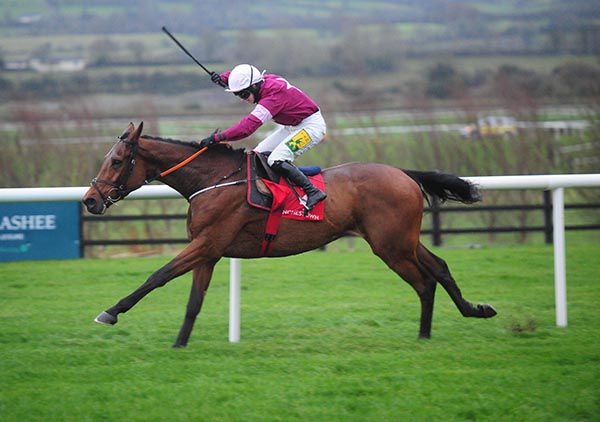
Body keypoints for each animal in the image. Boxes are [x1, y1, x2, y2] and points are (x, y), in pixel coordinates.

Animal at [82, 122, 496, 348]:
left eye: (116, 161)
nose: (89, 199)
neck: (212, 180)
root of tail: (404, 173)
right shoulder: (209, 251)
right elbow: (193, 302)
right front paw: (180, 343)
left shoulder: (206, 243)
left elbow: (158, 275)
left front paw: (110, 312)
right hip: (403, 240)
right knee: (439, 267)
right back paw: (474, 310)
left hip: (391, 246)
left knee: (425, 282)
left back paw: (425, 335)